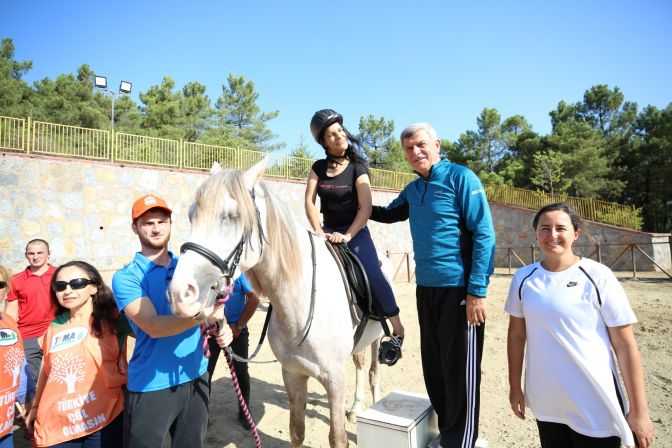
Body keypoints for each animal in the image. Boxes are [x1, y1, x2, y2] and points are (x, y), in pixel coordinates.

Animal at [168, 159, 386, 446]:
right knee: (361, 364)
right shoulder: (292, 374)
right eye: (192, 214)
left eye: (231, 215)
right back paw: (355, 409)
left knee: (372, 373)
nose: (181, 293)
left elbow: (337, 438)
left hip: (377, 337)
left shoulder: (336, 380)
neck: (301, 304)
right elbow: (297, 430)